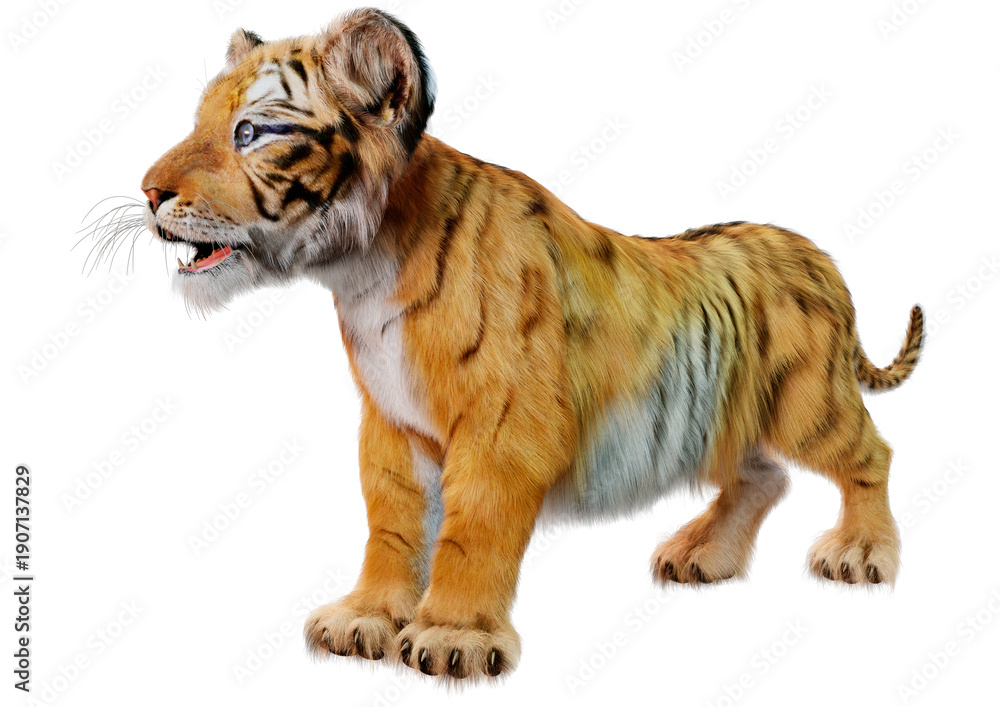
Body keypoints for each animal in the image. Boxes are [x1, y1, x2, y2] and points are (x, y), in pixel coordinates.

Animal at [135, 8, 923, 680]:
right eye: (200, 121)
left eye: (252, 132)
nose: (147, 192)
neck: (364, 270)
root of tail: (818, 257)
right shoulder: (390, 423)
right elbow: (391, 524)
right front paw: (365, 620)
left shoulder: (504, 423)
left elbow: (472, 529)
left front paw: (451, 636)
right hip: (727, 418)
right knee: (764, 475)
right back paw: (702, 555)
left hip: (808, 399)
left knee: (870, 455)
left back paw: (861, 552)